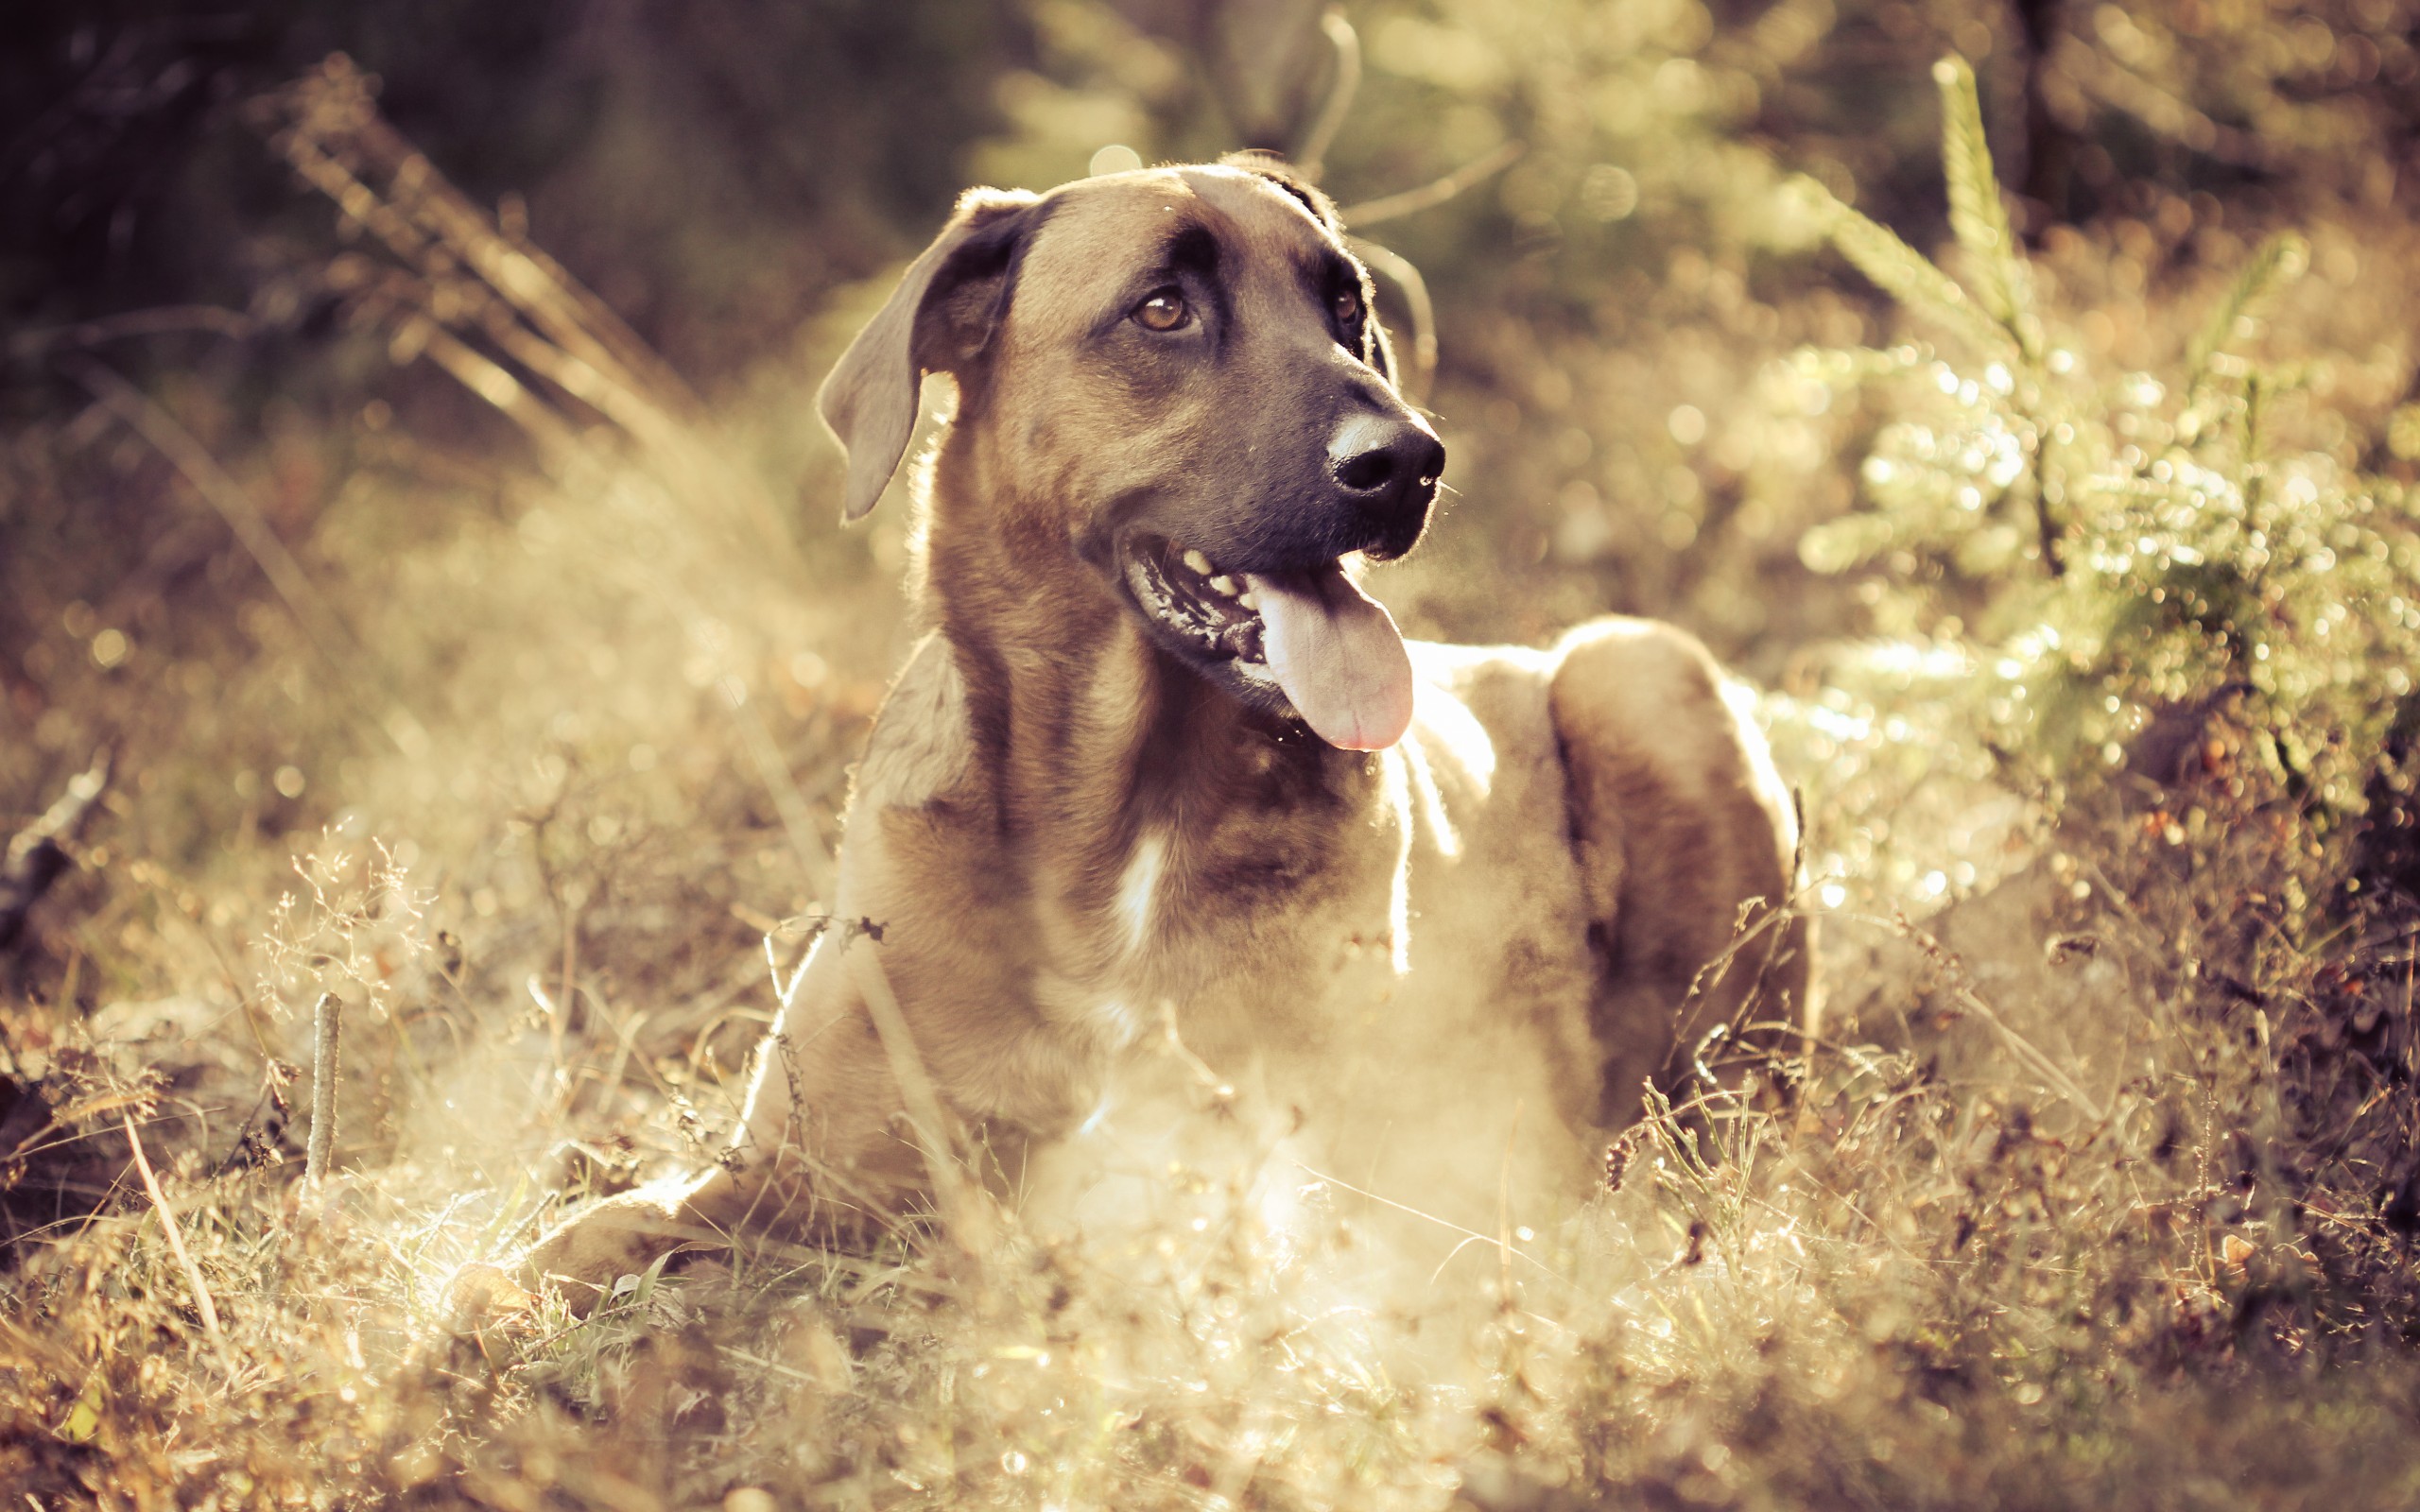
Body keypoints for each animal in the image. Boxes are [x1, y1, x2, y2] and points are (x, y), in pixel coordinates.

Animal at [529, 156, 1820, 1297]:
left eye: (1345, 307)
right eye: (1162, 309)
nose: (1410, 460)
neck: (1120, 818)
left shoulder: (1326, 1168)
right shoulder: (795, 1165)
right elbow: (567, 1247)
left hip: (1637, 671)